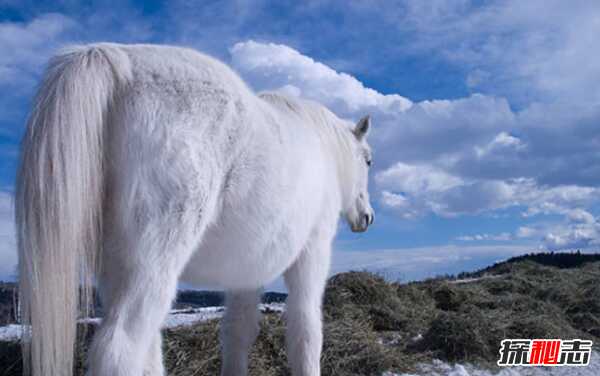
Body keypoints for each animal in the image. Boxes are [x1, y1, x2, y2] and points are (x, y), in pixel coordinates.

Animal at [16, 44, 372, 376]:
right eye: (368, 160)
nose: (366, 217)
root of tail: (120, 61)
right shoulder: (312, 252)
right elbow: (306, 329)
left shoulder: (246, 272)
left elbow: (237, 332)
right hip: (154, 263)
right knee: (120, 348)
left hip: (117, 270)